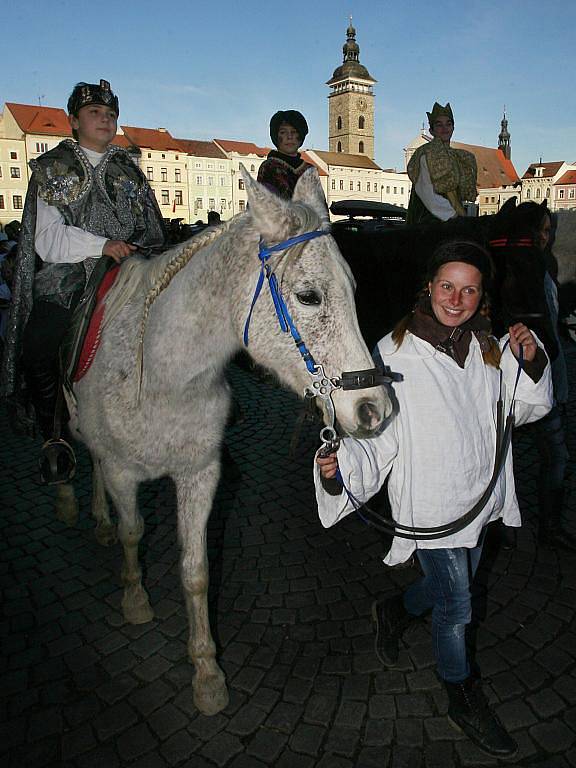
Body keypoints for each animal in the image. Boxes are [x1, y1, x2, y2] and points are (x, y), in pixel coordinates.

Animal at [56, 166, 392, 712]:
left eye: (354, 288)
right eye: (309, 296)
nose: (373, 408)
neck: (165, 373)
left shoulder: (200, 474)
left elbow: (196, 571)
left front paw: (207, 672)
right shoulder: (126, 473)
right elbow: (133, 532)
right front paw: (135, 598)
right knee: (90, 458)